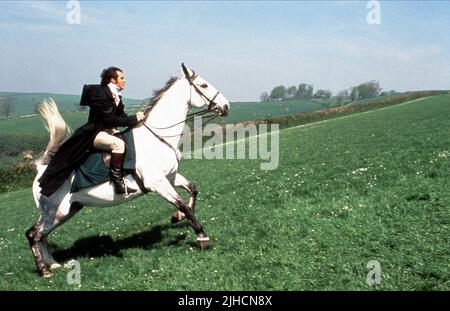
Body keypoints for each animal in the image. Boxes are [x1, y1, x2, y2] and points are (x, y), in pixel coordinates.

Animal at [25, 63, 230, 278]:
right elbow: (183, 204)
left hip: (66, 211)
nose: (226, 106)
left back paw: (53, 264)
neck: (157, 137)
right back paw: (44, 270)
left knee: (42, 235)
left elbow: (192, 189)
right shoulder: (157, 183)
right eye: (204, 85)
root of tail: (40, 170)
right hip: (56, 211)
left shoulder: (171, 177)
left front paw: (177, 217)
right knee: (33, 234)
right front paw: (202, 237)